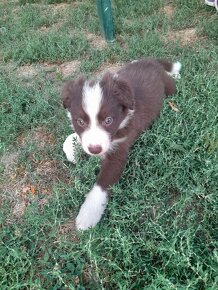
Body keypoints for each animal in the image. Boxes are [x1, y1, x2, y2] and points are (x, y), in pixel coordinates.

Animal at [61, 57, 181, 230]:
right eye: (80, 122)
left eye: (108, 120)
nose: (95, 149)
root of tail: (149, 61)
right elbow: (70, 140)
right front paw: (72, 151)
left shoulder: (118, 153)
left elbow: (101, 185)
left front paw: (88, 214)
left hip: (168, 86)